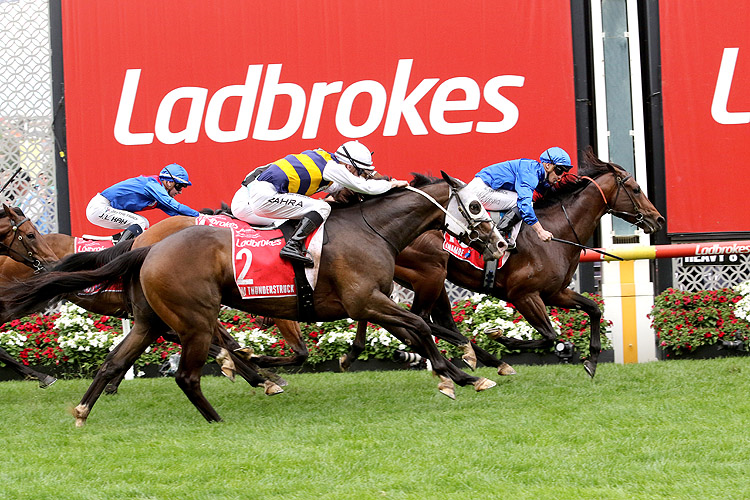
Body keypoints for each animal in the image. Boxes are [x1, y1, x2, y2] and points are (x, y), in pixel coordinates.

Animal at [340, 148, 664, 378]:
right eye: (636, 189)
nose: (658, 219)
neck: (559, 233)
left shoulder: (555, 292)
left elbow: (594, 309)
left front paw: (592, 361)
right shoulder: (524, 295)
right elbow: (550, 336)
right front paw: (505, 339)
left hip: (424, 279)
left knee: (425, 320)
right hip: (429, 273)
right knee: (419, 319)